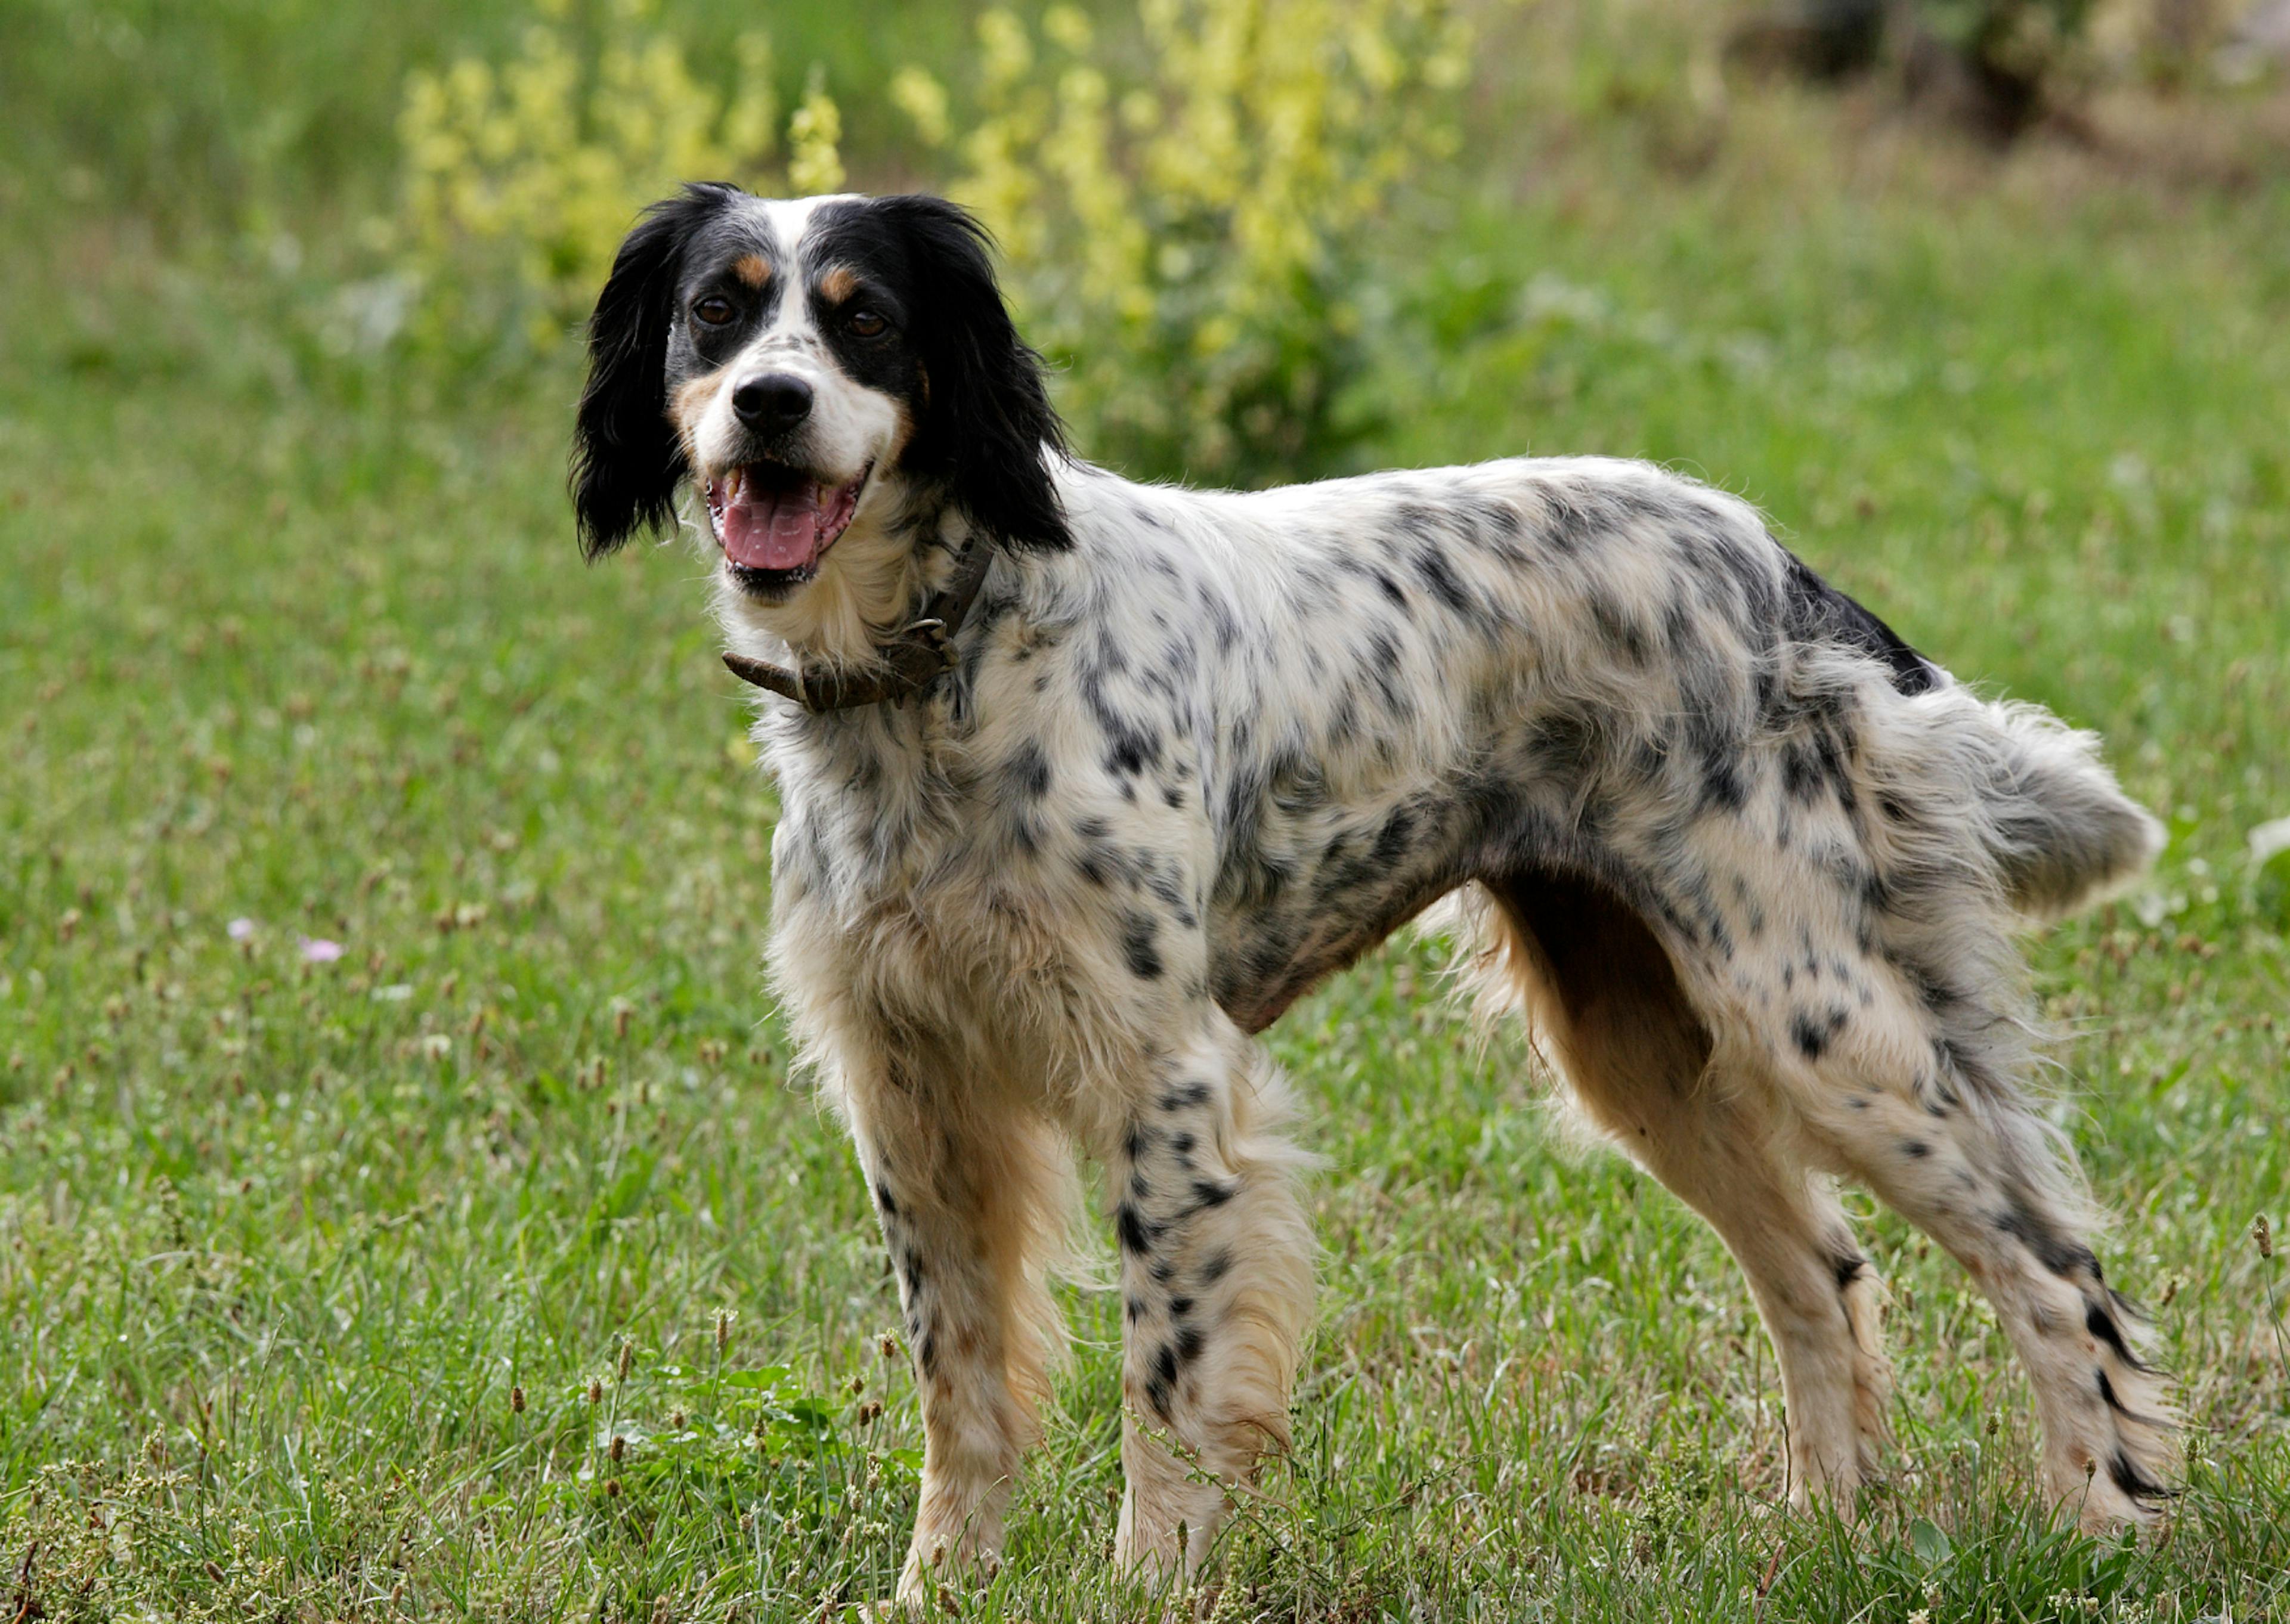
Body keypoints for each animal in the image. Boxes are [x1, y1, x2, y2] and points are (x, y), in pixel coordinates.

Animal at [572, 183, 2180, 1594]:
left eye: (865, 320)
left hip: (1812, 1015)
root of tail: (1779, 566)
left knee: (2055, 1270)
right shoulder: (912, 1092)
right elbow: (959, 1394)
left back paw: (2106, 1525)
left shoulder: (1164, 1082)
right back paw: (1828, 1528)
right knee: (1823, 1274)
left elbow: (1165, 1393)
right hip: (1644, 1045)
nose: (768, 403)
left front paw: (1146, 1582)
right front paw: (936, 1591)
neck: (947, 661)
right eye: (719, 313)